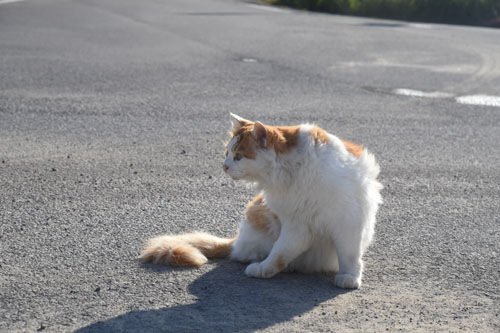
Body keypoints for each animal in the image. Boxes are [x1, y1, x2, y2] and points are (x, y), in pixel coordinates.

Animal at [141, 114, 382, 288]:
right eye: (227, 153)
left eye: (238, 156)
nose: (224, 167)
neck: (296, 170)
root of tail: (237, 239)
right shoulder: (296, 225)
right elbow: (280, 252)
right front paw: (264, 270)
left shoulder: (348, 221)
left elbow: (349, 254)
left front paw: (349, 277)